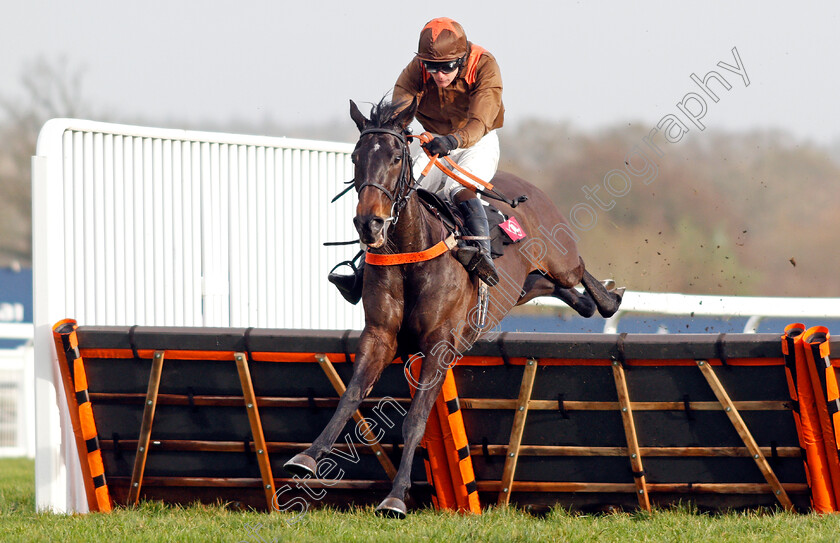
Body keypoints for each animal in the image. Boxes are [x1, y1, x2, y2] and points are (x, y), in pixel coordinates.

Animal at [286, 98, 620, 520]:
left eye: (396, 157)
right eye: (355, 158)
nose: (369, 223)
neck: (410, 251)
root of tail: (528, 187)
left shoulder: (440, 345)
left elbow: (414, 419)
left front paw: (396, 497)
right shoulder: (379, 336)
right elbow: (351, 396)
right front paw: (307, 457)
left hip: (560, 257)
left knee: (577, 270)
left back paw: (607, 298)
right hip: (521, 288)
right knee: (548, 285)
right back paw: (584, 301)